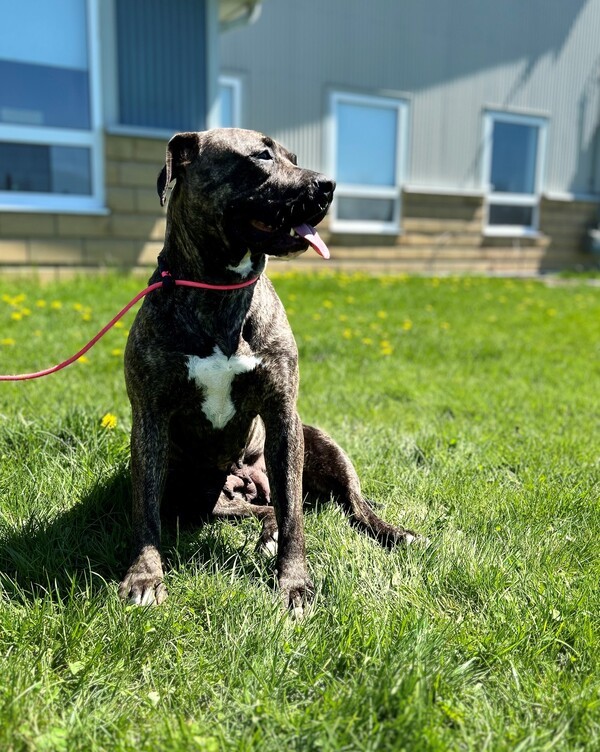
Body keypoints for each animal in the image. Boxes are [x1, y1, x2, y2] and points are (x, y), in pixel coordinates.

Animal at [117, 128, 418, 612]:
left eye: (292, 157)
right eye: (260, 156)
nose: (327, 186)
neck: (221, 291)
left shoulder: (282, 415)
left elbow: (295, 514)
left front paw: (294, 583)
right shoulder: (149, 419)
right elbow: (145, 510)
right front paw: (145, 575)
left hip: (321, 443)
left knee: (345, 504)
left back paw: (391, 532)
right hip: (198, 491)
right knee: (259, 508)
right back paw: (265, 530)